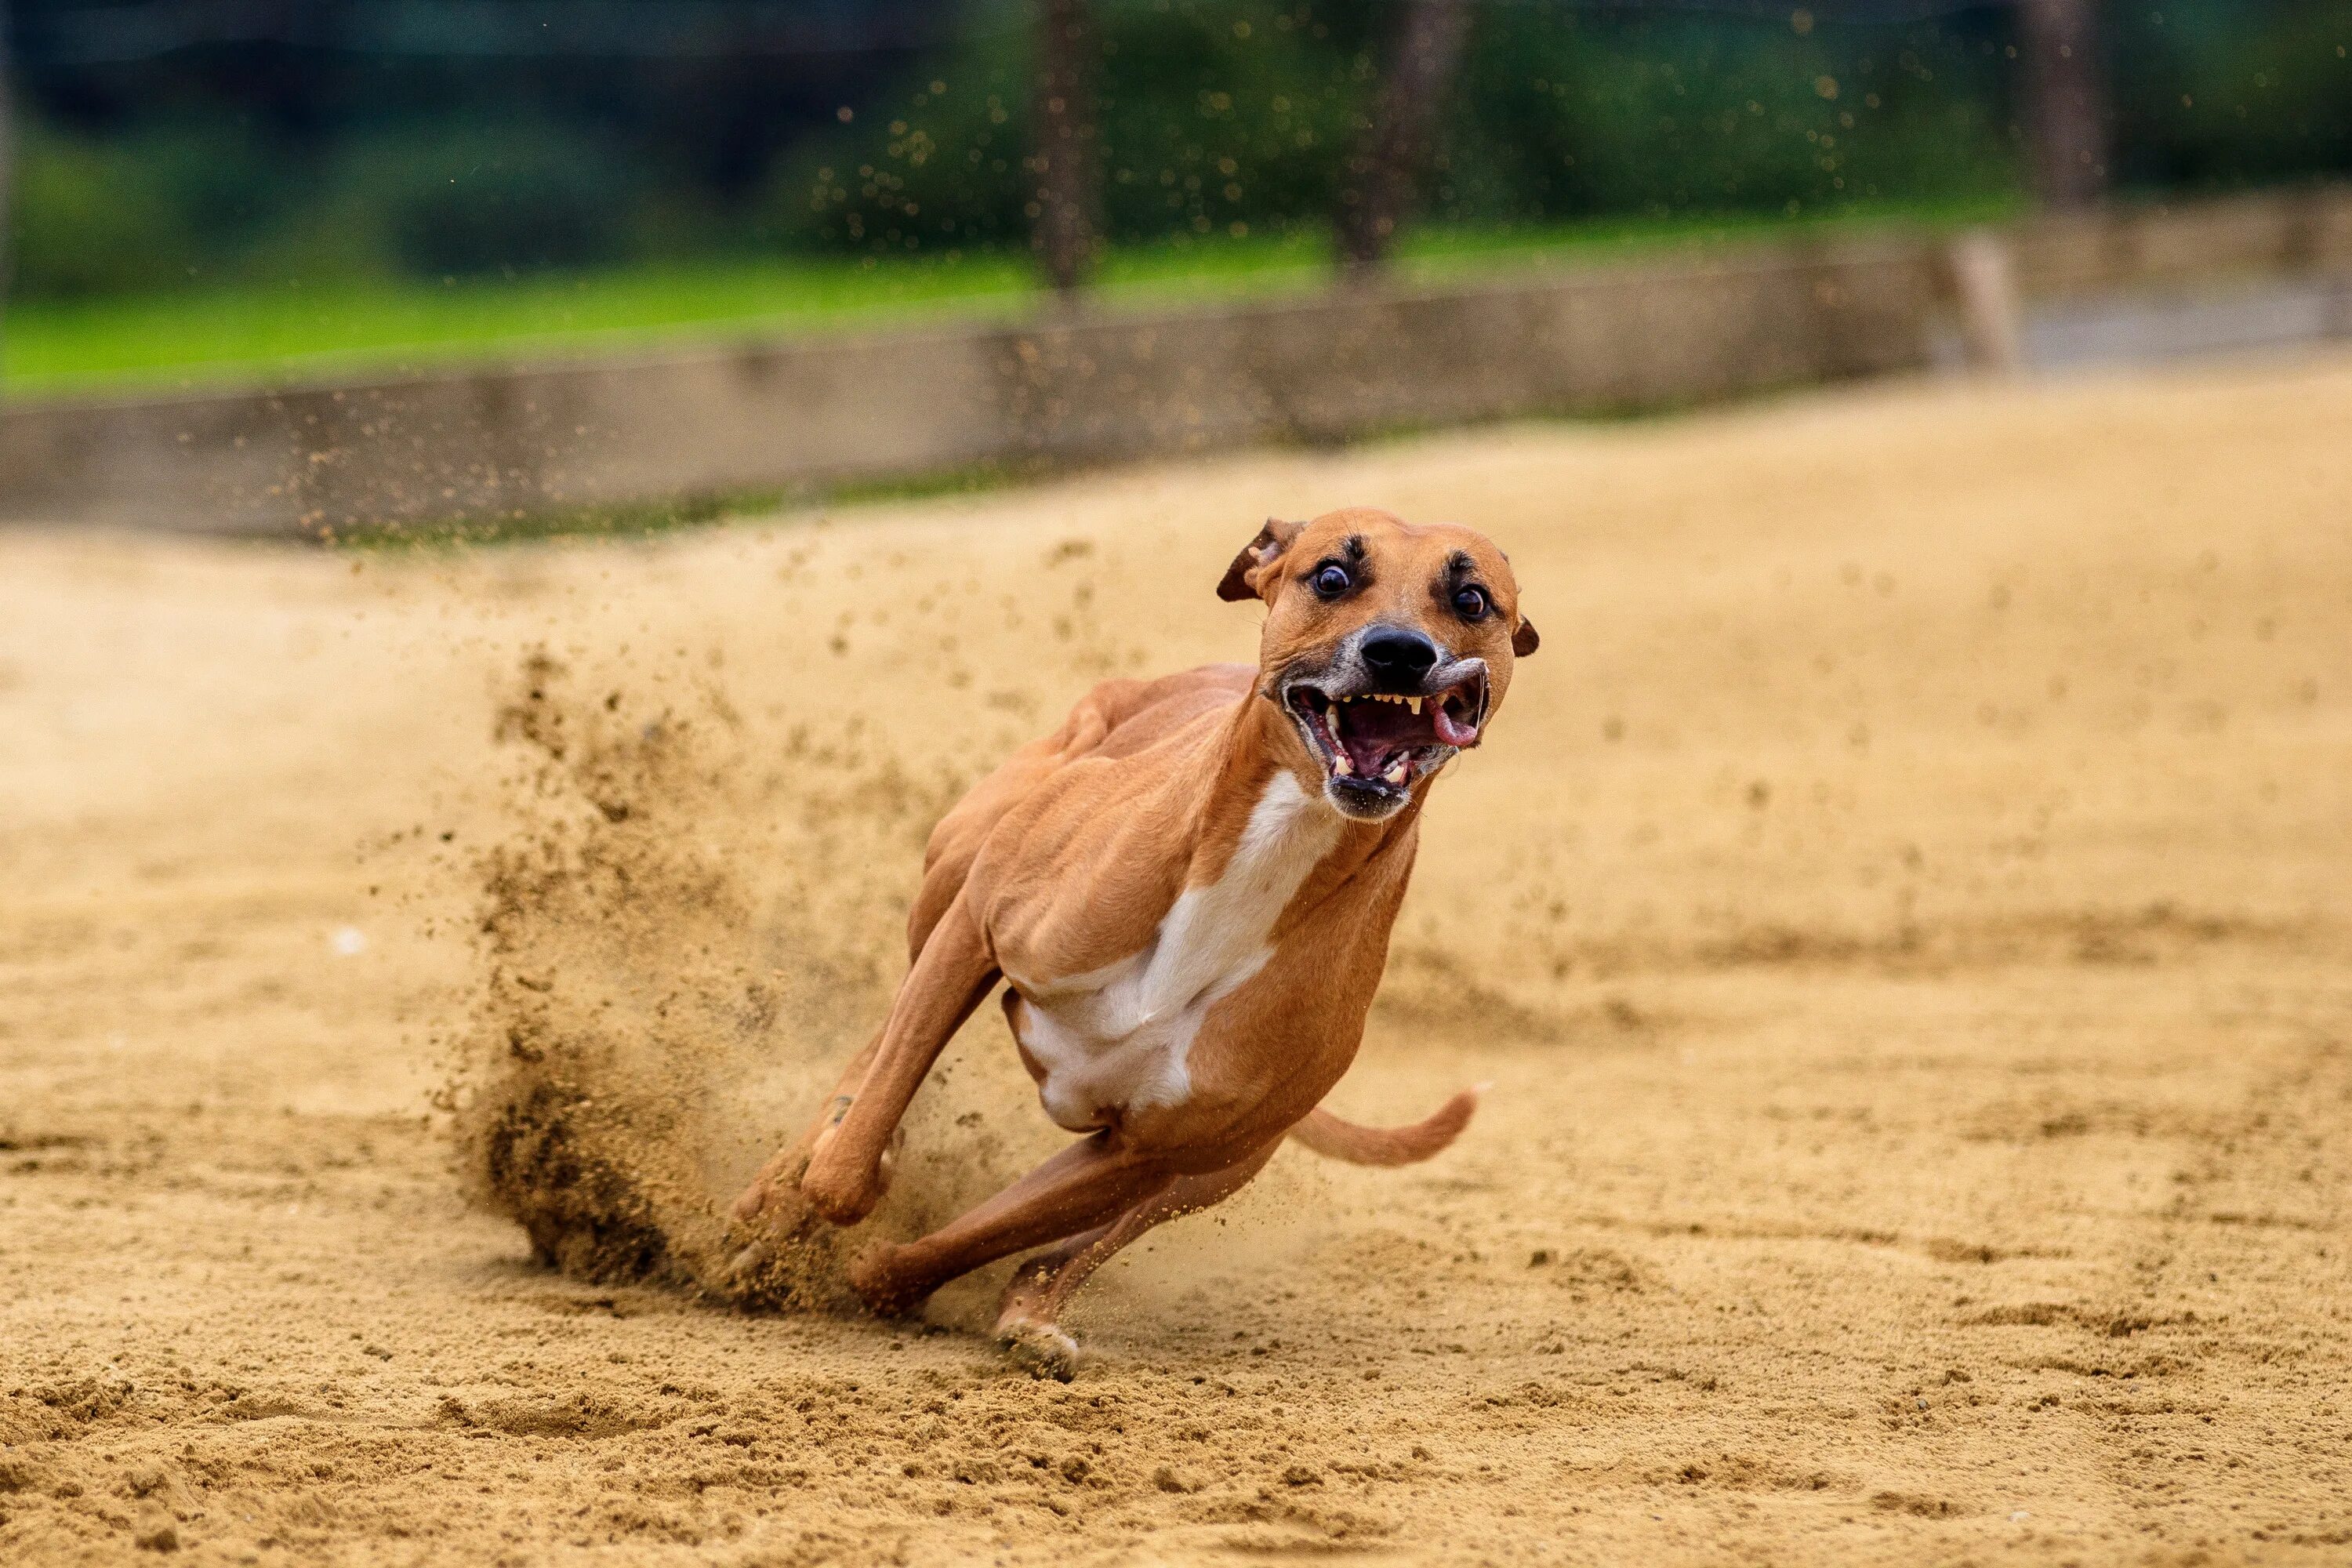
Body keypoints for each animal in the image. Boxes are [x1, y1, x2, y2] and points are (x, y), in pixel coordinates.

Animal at [734, 505, 1543, 1373]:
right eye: (1331, 575)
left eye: (1471, 598)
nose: (1400, 650)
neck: (1273, 847)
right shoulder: (977, 925)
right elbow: (848, 1169)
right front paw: (808, 1198)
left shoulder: (1146, 1151)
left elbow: (960, 1243)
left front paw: (888, 1276)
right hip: (959, 863)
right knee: (879, 1047)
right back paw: (784, 1184)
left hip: (1217, 1167)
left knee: (1073, 1243)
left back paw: (1029, 1316)